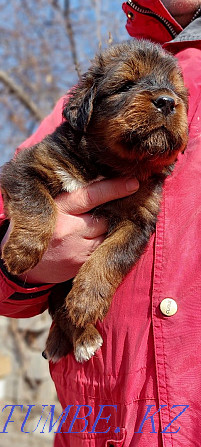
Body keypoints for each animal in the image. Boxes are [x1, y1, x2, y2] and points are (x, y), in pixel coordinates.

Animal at [0, 40, 188, 364]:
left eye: (176, 91)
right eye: (126, 85)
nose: (167, 102)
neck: (109, 167)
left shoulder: (139, 220)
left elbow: (111, 255)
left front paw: (87, 299)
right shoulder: (25, 165)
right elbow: (37, 203)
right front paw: (21, 252)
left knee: (62, 309)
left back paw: (82, 337)